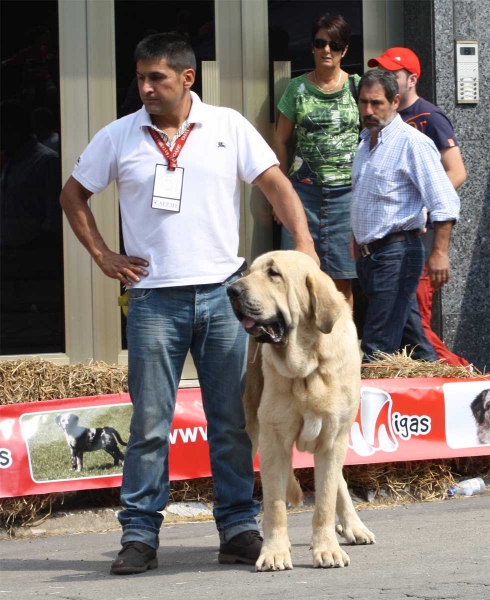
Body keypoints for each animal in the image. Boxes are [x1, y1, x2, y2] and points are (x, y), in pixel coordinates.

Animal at [227, 250, 376, 572]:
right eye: (249, 271)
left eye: (274, 274)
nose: (232, 290)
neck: (309, 363)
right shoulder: (273, 440)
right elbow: (275, 505)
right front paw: (274, 552)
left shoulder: (333, 439)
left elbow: (325, 501)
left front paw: (327, 549)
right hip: (251, 429)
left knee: (337, 483)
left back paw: (354, 527)